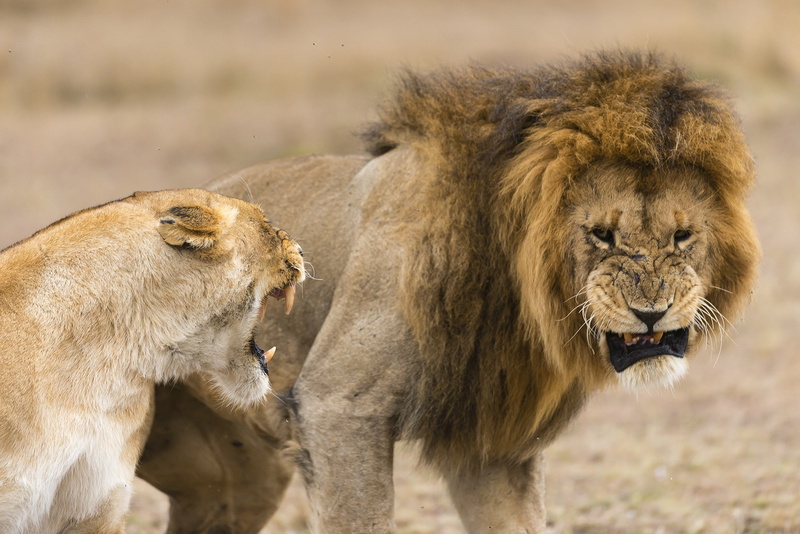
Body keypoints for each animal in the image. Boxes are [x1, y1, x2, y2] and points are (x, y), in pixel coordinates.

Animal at [137, 51, 759, 533]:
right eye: (600, 234)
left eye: (682, 235)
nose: (651, 313)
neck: (519, 297)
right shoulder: (338, 406)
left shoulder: (492, 443)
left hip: (240, 480)